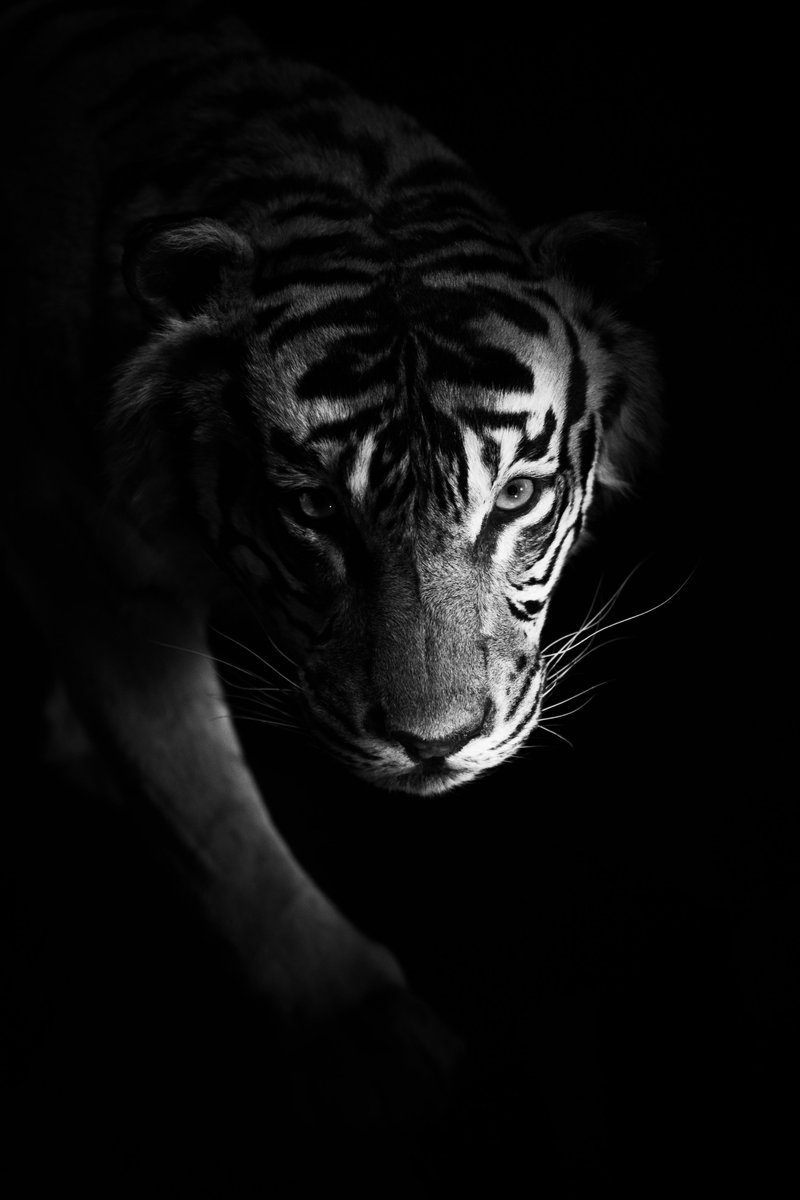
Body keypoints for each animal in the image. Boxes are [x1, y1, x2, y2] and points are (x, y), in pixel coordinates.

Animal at [1, 0, 660, 1105]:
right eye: (313, 509)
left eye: (517, 496)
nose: (436, 742)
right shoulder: (86, 546)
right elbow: (205, 806)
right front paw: (364, 1028)